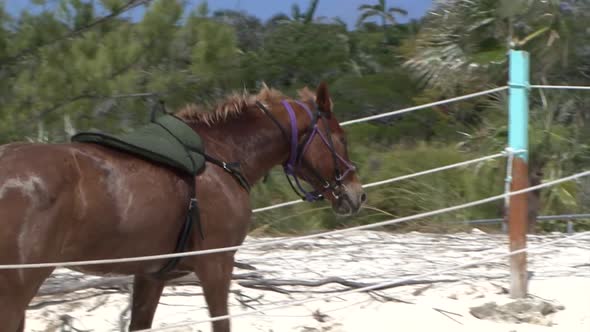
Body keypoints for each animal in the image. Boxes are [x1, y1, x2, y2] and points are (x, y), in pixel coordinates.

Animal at [0, 82, 368, 332]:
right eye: (340, 138)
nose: (356, 194)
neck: (220, 156)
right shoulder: (216, 265)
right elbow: (221, 323)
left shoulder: (151, 275)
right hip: (16, 291)